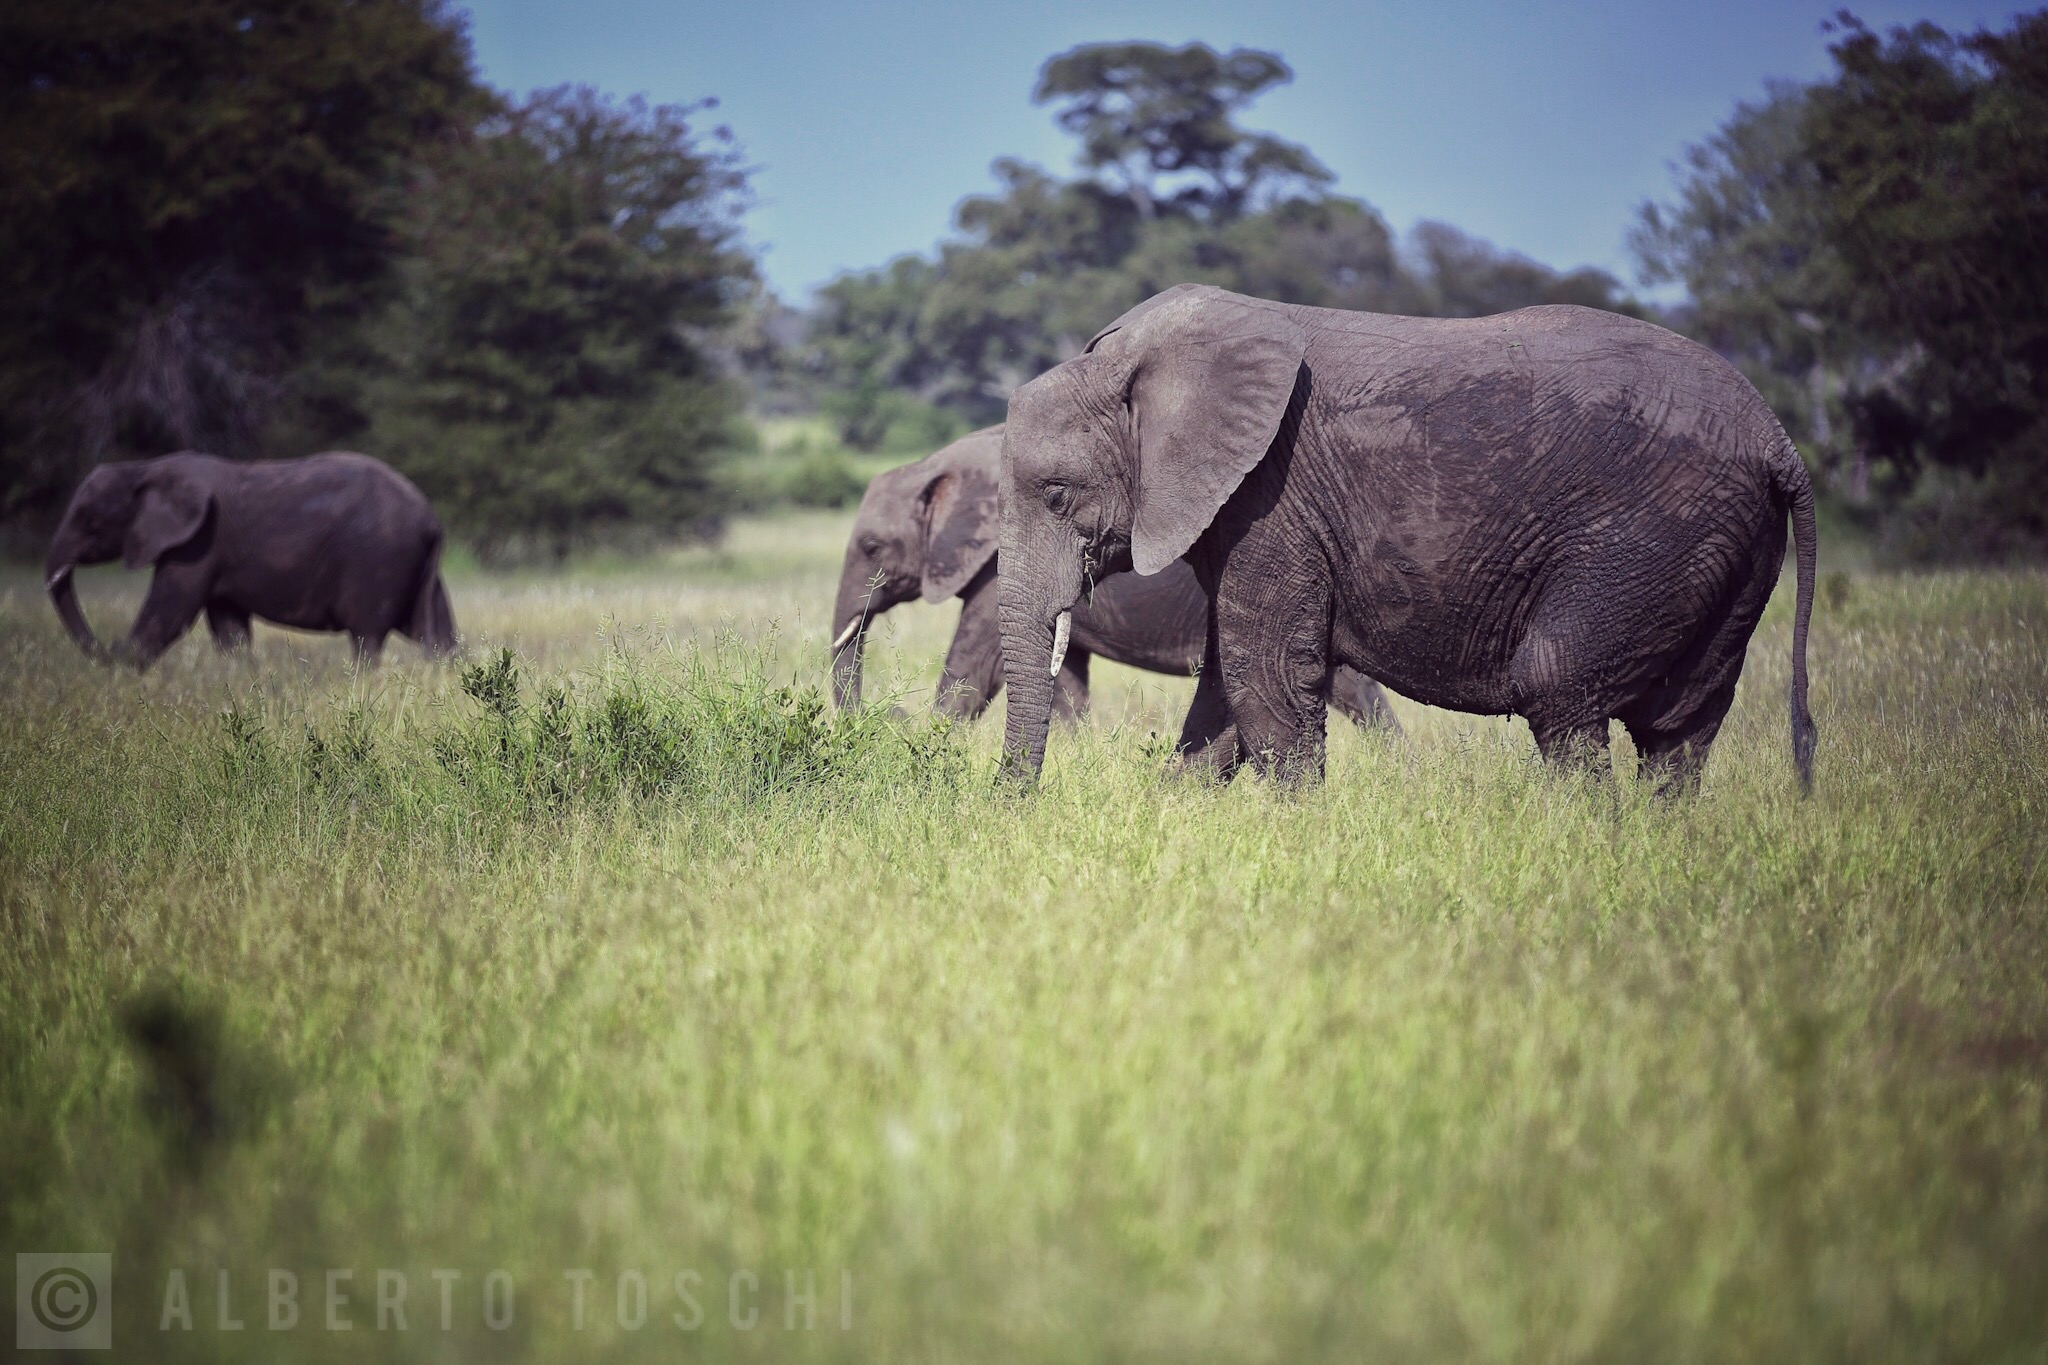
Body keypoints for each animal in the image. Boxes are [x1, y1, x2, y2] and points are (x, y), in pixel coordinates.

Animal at [45, 450, 457, 669]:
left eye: (89, 521)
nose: (108, 646)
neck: (144, 468)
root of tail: (432, 519)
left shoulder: (197, 543)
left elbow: (168, 613)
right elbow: (228, 626)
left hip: (377, 560)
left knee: (367, 637)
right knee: (433, 631)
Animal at [829, 425, 1400, 734]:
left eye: (872, 548)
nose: (890, 714)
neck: (938, 461)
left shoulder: (1000, 565)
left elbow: (976, 670)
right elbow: (1064, 683)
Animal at [995, 284, 1817, 794]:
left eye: (1058, 494)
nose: (1014, 805)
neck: (1136, 361)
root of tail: (1780, 442)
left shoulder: (1274, 499)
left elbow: (1266, 679)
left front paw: (1301, 841)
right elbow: (1227, 687)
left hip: (1651, 536)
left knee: (1560, 688)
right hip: (1724, 550)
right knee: (1681, 725)